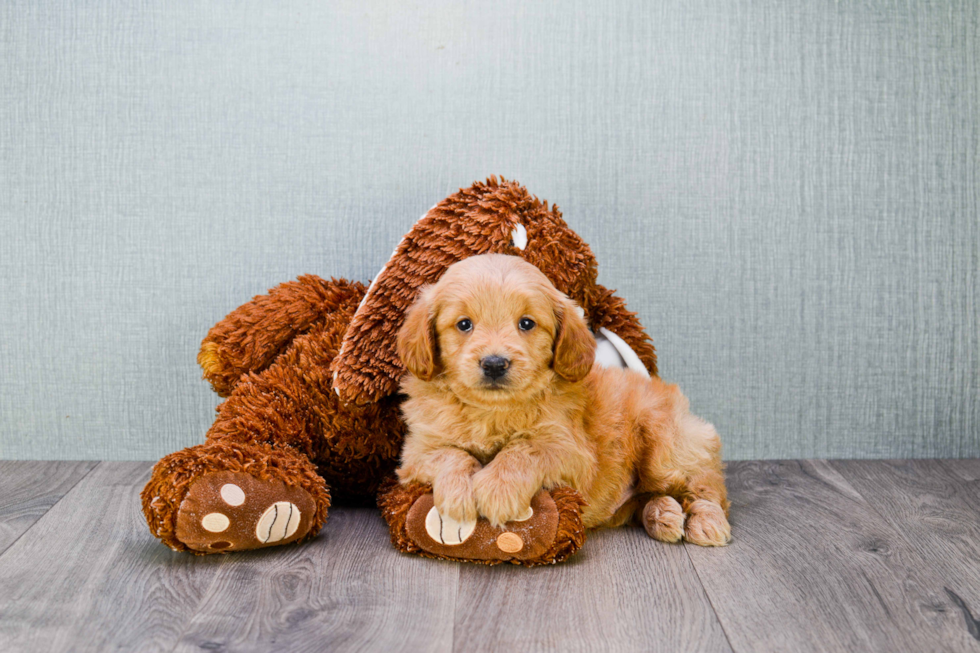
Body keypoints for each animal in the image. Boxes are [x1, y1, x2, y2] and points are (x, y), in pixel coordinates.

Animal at [396, 253, 728, 544]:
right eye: (464, 324)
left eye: (526, 323)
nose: (494, 364)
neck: (493, 411)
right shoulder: (416, 451)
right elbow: (451, 454)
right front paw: (458, 494)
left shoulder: (572, 452)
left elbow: (524, 448)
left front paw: (497, 489)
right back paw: (663, 514)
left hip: (666, 443)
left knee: (706, 487)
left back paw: (706, 522)